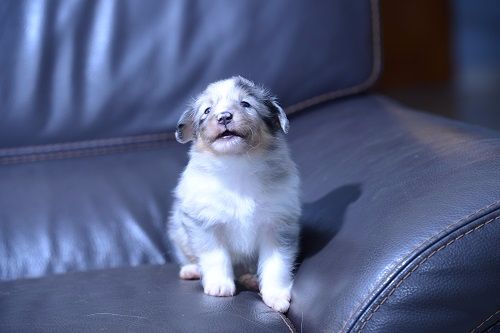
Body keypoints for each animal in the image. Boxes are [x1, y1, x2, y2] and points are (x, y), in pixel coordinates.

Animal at [168, 75, 300, 312]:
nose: (224, 117)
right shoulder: (204, 222)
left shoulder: (278, 224)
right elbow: (215, 256)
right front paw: (219, 285)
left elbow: (277, 263)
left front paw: (276, 295)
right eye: (207, 110)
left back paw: (251, 279)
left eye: (246, 104)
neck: (237, 164)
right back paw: (192, 270)